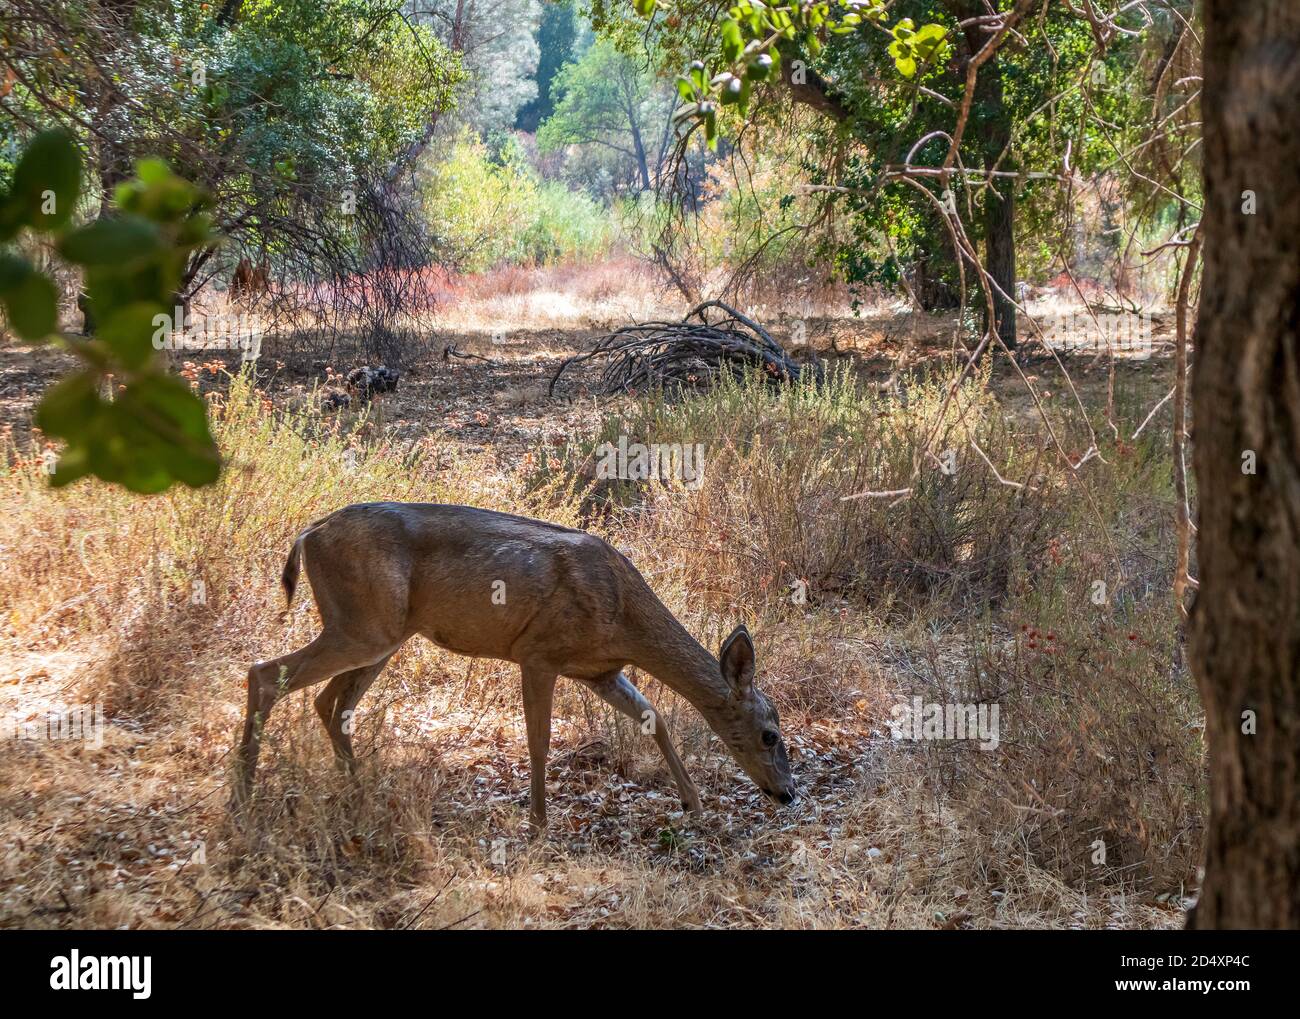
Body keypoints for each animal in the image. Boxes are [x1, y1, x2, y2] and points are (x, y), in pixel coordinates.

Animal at [235, 502, 796, 831]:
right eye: (770, 734)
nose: (788, 794)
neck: (623, 613)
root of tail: (308, 533)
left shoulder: (598, 669)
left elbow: (652, 716)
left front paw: (693, 803)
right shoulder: (539, 652)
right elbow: (540, 740)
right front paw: (540, 822)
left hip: (381, 635)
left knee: (329, 702)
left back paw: (358, 792)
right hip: (363, 625)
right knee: (265, 674)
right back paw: (243, 798)